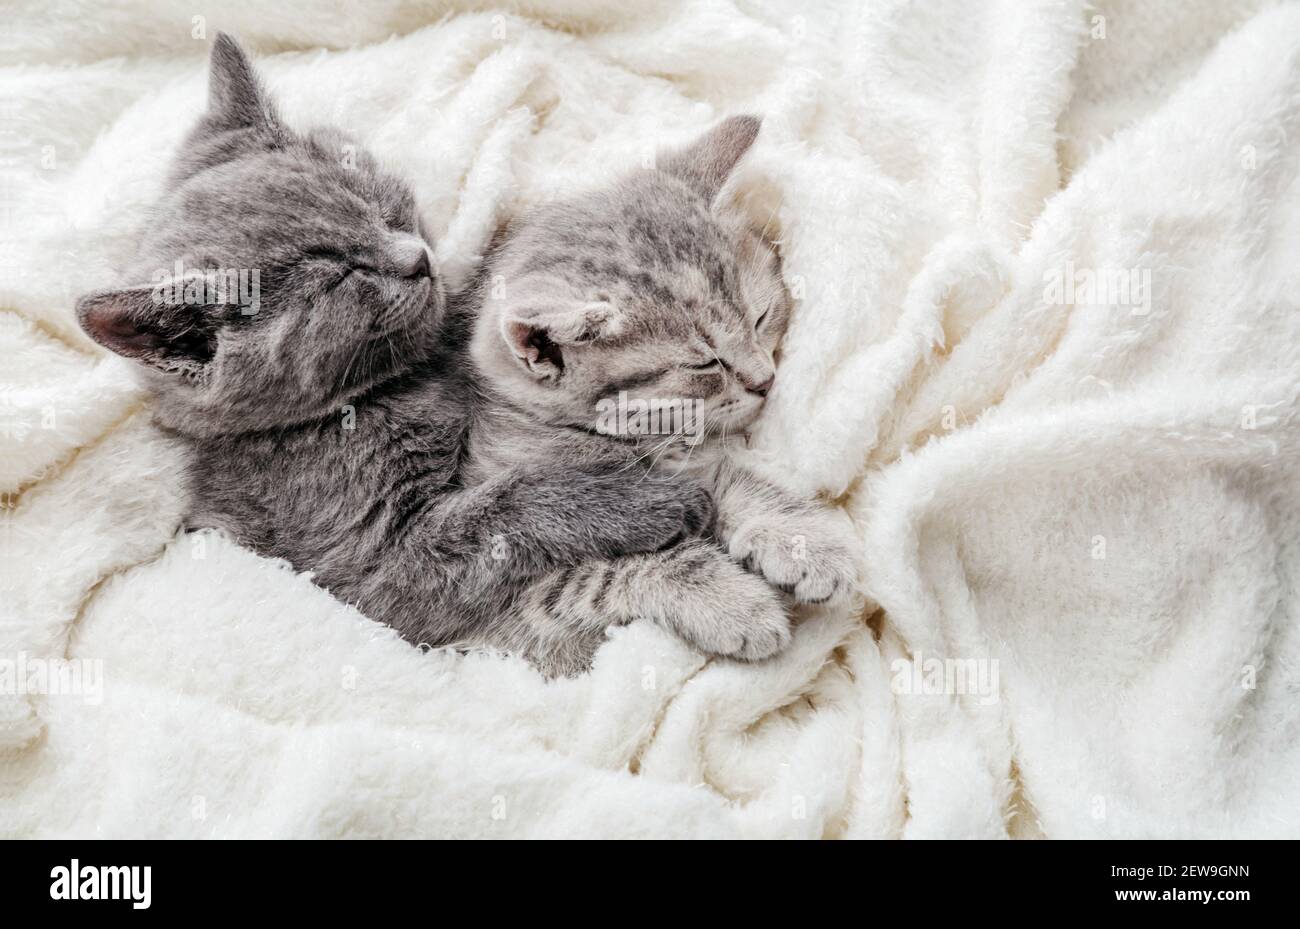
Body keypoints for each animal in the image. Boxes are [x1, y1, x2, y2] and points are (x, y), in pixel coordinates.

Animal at [74, 38, 717, 654]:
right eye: (338, 276)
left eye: (376, 201)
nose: (417, 258)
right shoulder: (373, 563)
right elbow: (506, 509)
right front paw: (646, 498)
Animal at [462, 116, 857, 675]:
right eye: (703, 362)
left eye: (761, 317)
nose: (766, 380)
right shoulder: (492, 610)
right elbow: (611, 570)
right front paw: (729, 601)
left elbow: (723, 475)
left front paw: (803, 541)